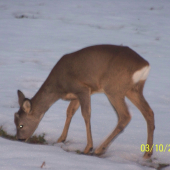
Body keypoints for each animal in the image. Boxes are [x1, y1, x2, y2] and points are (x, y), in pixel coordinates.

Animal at [14, 44, 154, 159]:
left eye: (21, 125)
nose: (19, 139)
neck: (59, 87)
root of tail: (145, 65)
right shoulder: (76, 95)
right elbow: (69, 112)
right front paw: (61, 139)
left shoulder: (82, 89)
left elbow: (86, 114)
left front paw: (88, 147)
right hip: (133, 90)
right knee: (149, 112)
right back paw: (147, 153)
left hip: (114, 88)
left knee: (125, 116)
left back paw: (99, 149)